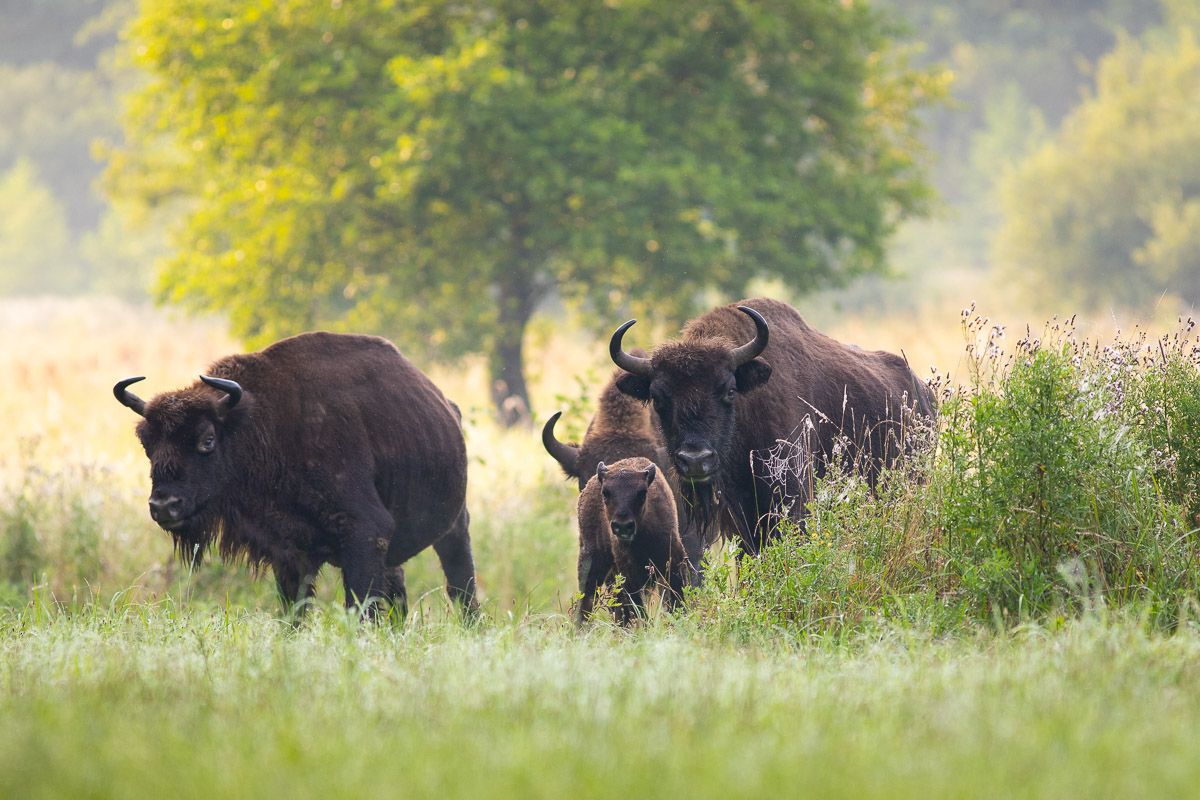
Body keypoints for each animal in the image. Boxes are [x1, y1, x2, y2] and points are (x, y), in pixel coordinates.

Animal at [113, 328, 477, 618]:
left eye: (207, 440)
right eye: (147, 442)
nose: (164, 505)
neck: (256, 423)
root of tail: (448, 406)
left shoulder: (366, 533)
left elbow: (360, 606)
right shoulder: (287, 552)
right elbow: (295, 610)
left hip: (455, 526)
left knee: (460, 583)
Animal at [571, 455, 686, 623]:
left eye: (642, 493)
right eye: (605, 492)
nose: (623, 526)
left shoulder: (674, 560)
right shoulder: (629, 573)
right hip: (591, 558)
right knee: (587, 599)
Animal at [609, 298, 936, 556]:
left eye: (729, 390)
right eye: (658, 398)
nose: (695, 460)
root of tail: (923, 395)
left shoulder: (792, 501)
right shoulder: (740, 519)